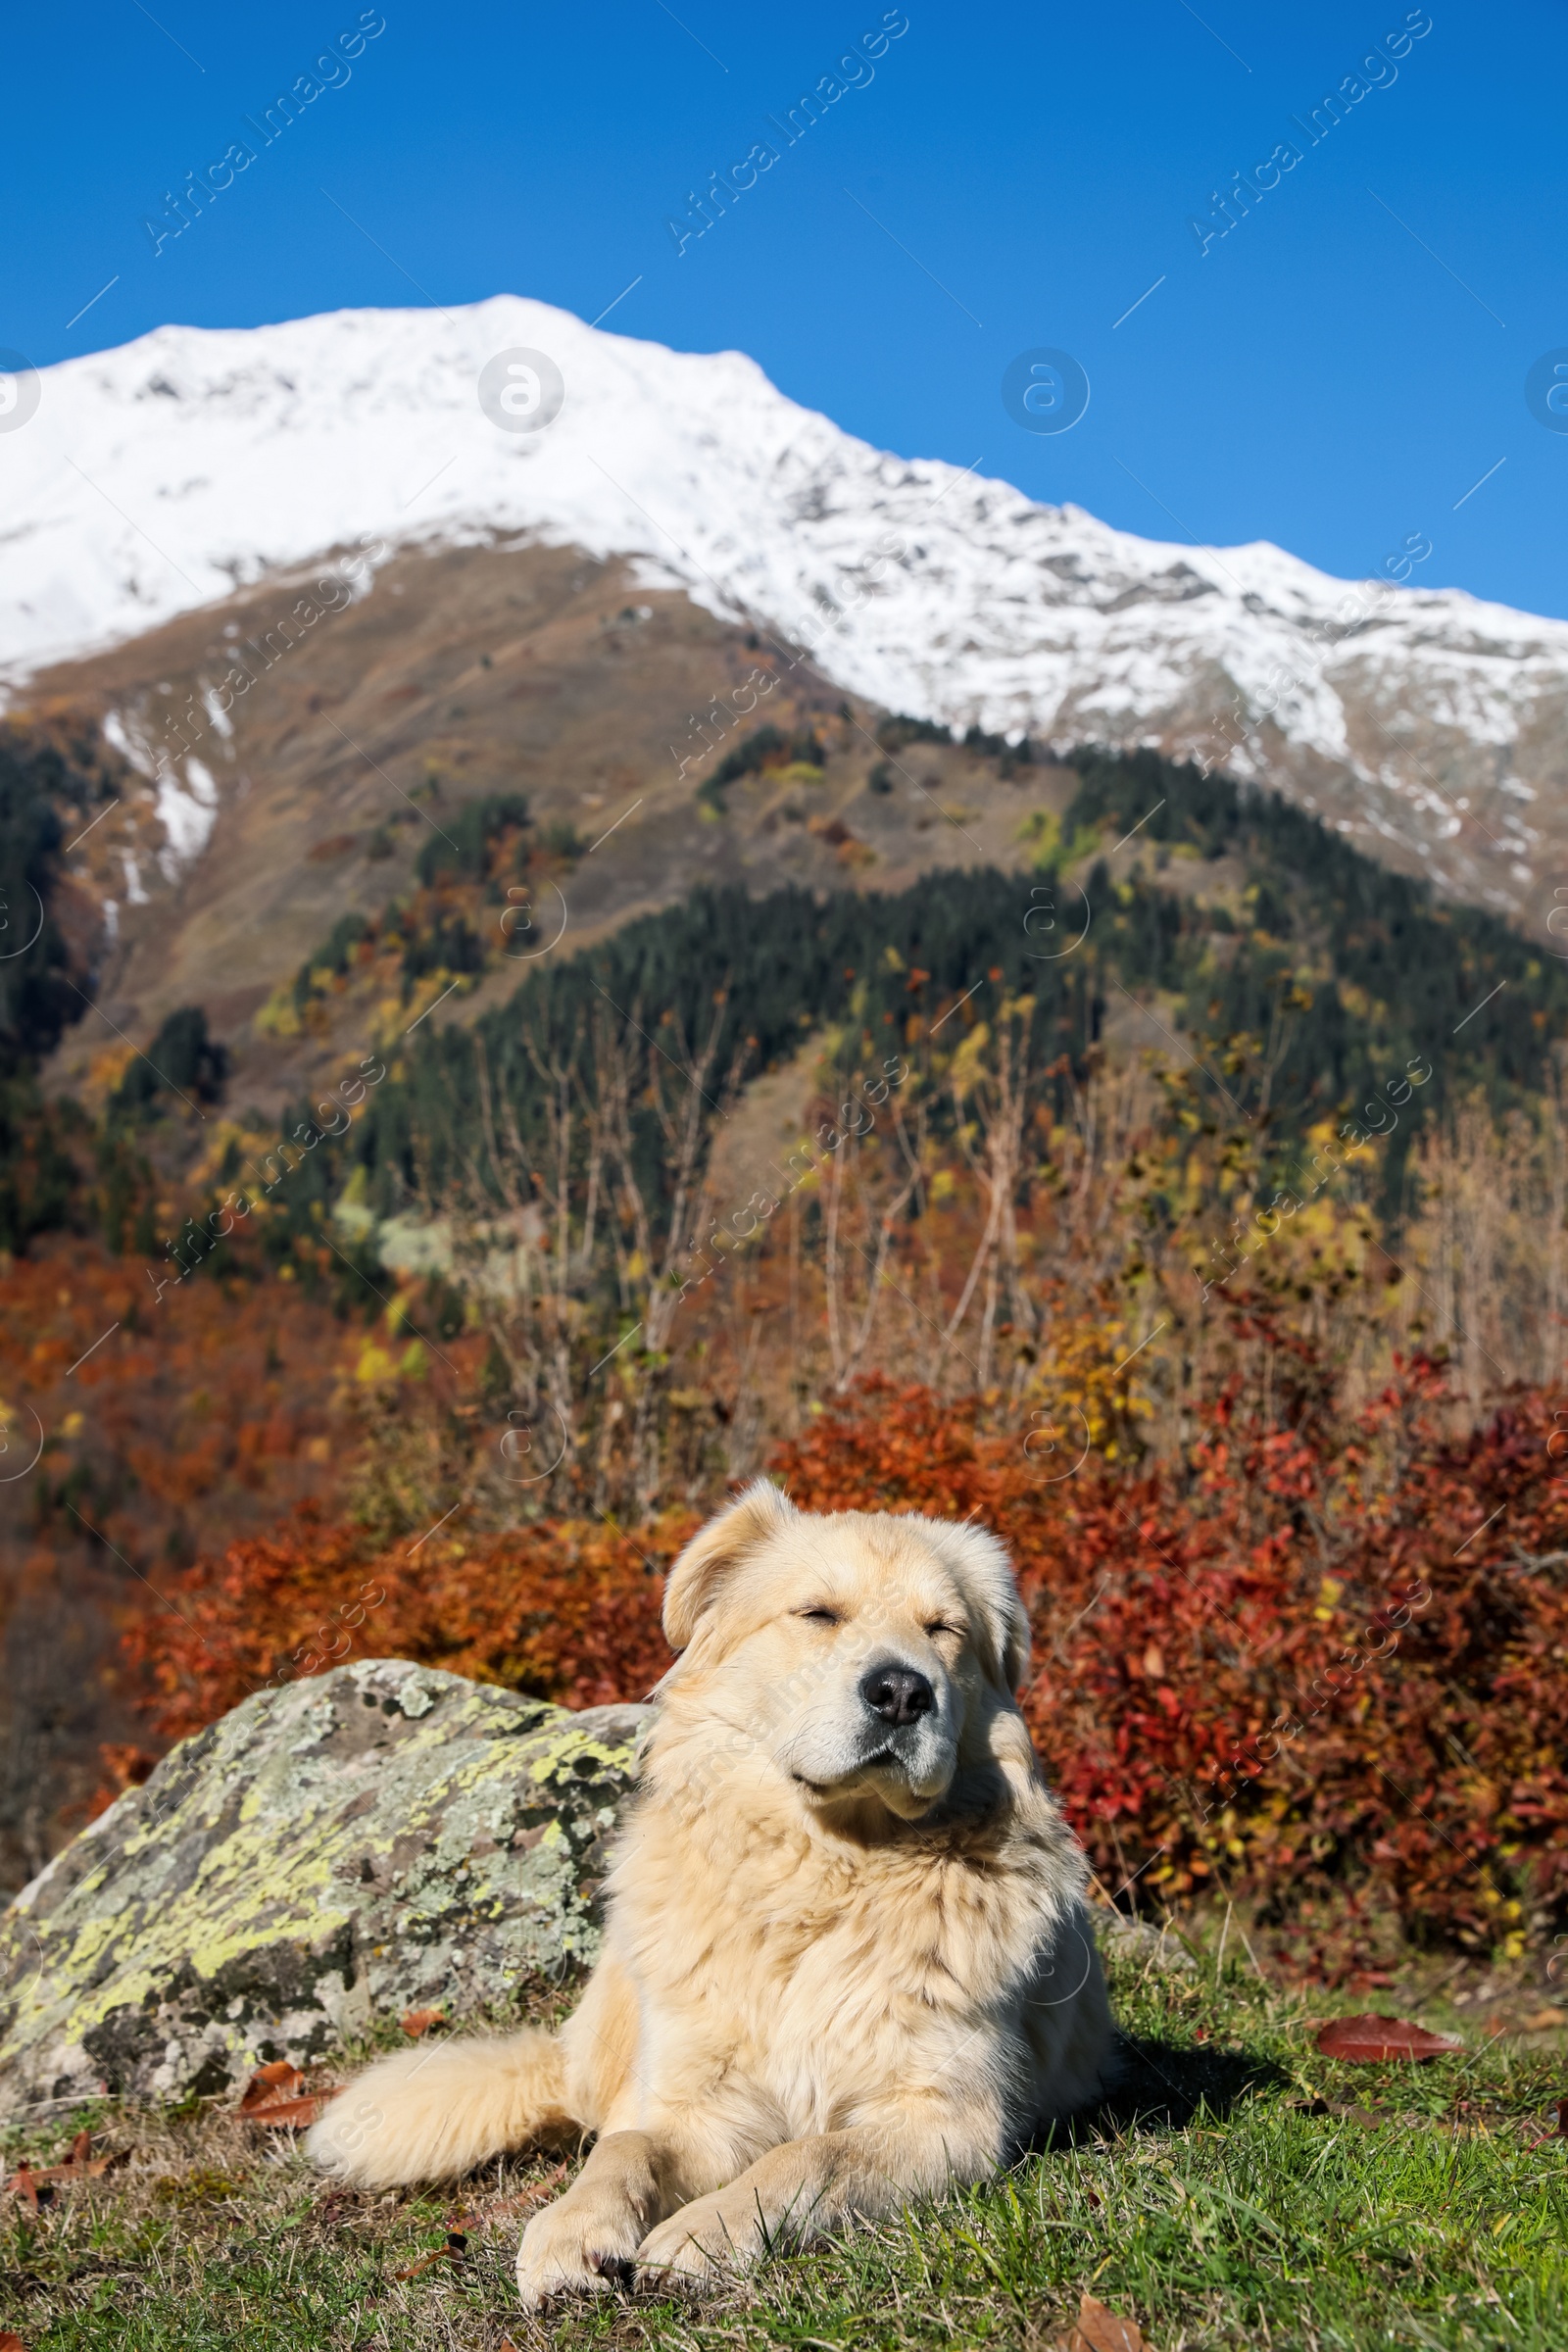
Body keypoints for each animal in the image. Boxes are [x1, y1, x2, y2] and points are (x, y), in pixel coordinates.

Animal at [310, 1477, 1114, 2305]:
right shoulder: (700, 2109)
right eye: (818, 1614)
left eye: (943, 1629)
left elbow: (810, 2156)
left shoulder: (949, 2120)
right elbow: (624, 2151)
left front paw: (706, 2230)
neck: (827, 1879)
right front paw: (573, 2229)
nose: (900, 1692)